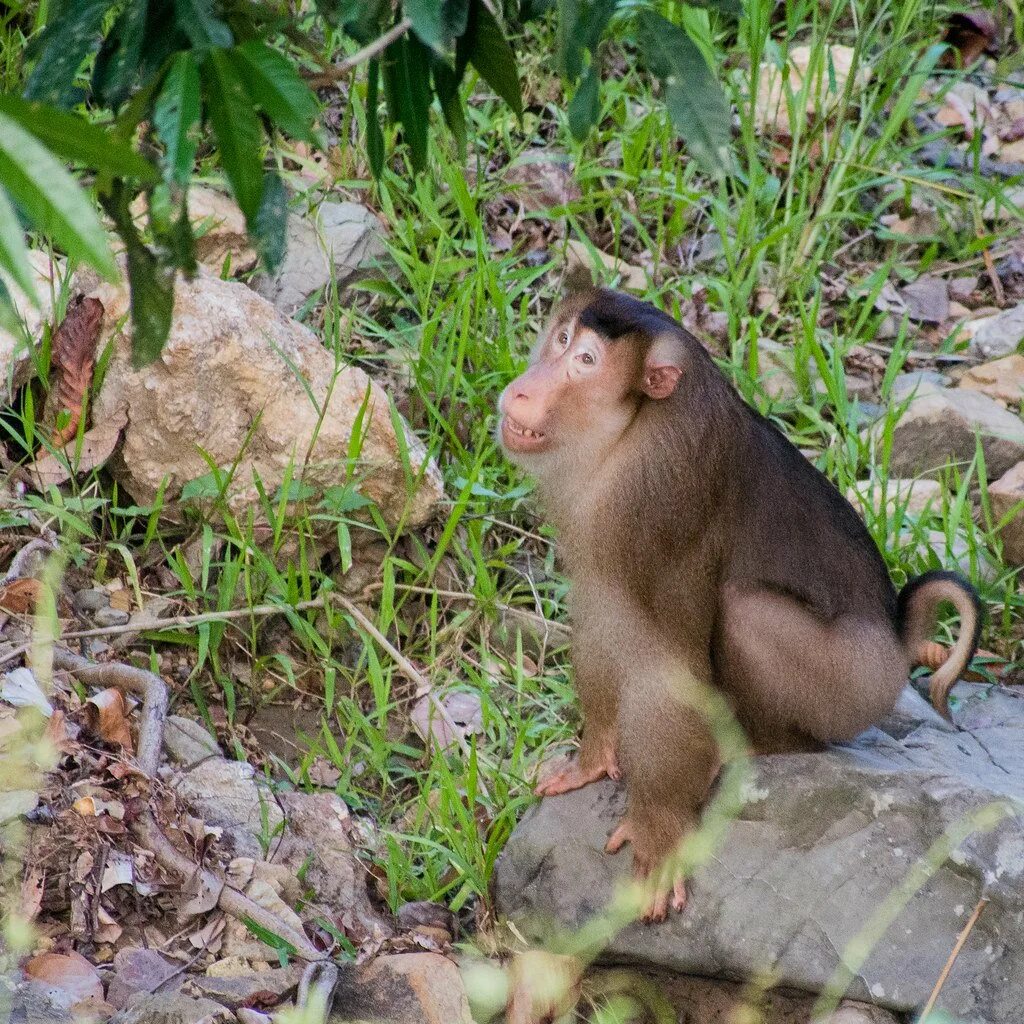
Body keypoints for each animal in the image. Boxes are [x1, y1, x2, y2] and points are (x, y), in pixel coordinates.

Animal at [499, 286, 978, 921]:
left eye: (586, 362)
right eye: (559, 339)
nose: (523, 389)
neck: (631, 427)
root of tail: (897, 637)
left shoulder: (661, 500)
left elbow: (670, 665)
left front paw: (660, 828)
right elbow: (603, 616)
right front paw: (594, 757)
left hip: (856, 685)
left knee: (749, 614)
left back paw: (763, 744)